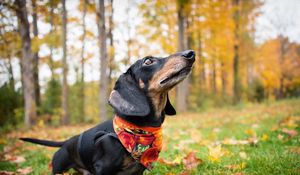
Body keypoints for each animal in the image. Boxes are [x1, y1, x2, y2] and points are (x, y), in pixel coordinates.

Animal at [20, 50, 195, 174]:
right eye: (148, 61)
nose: (190, 53)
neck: (138, 129)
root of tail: (67, 142)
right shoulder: (103, 167)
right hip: (58, 168)